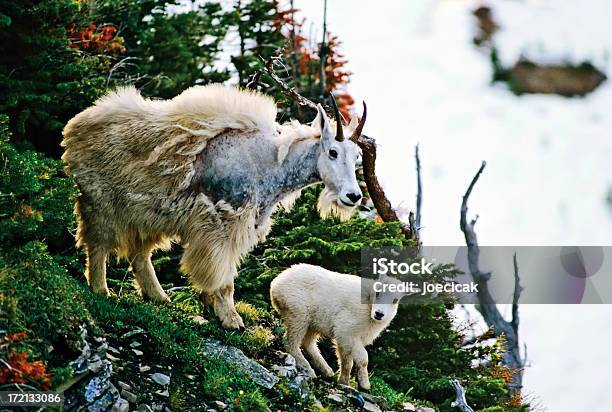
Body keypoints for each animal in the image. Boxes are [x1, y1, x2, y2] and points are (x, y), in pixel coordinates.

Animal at [61, 85, 366, 330]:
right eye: (333, 152)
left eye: (357, 157)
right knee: (98, 245)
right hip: (101, 202)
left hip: (146, 216)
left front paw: (213, 309)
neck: (270, 165)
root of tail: (75, 126)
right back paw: (100, 289)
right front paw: (231, 320)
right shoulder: (220, 224)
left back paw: (159, 297)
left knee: (139, 256)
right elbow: (224, 277)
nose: (353, 196)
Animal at [270, 264, 404, 390]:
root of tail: (276, 283)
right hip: (298, 313)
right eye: (377, 292)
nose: (379, 314)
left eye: (395, 300)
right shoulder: (346, 330)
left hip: (313, 322)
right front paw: (364, 385)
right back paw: (308, 369)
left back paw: (327, 371)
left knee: (308, 344)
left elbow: (346, 360)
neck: (368, 307)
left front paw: (344, 381)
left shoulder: (349, 338)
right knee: (290, 342)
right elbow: (362, 358)